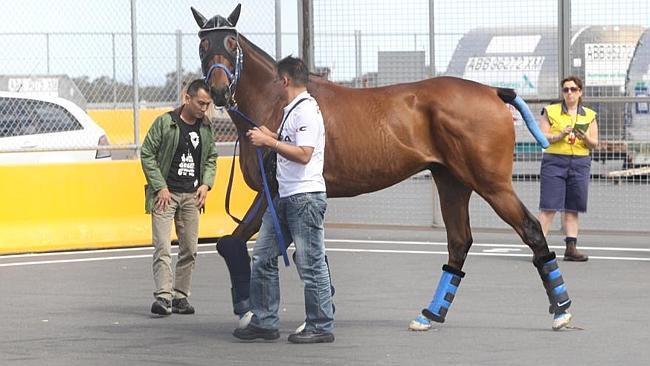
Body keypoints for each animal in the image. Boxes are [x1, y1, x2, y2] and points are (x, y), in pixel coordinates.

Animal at [191, 4, 572, 330]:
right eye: (203, 45)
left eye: (230, 42)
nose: (219, 91)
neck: (279, 102)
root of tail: (493, 92)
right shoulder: (282, 198)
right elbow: (244, 244)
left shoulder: (277, 191)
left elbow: (245, 245)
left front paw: (252, 309)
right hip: (452, 182)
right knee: (459, 241)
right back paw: (430, 314)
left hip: (491, 183)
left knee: (530, 229)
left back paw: (561, 311)